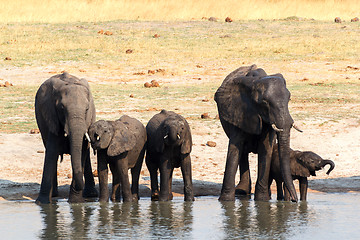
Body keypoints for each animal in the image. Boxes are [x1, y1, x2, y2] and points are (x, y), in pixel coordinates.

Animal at [34, 72, 97, 203]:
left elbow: (82, 151)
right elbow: (51, 152)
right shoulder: (52, 117)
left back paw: (91, 194)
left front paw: (75, 202)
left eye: (87, 109)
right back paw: (53, 195)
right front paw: (42, 203)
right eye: (62, 108)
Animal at [214, 64, 300, 202]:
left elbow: (266, 150)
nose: (294, 200)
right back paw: (241, 192)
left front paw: (262, 201)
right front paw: (226, 201)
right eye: (265, 103)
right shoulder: (239, 111)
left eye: (289, 98)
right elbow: (234, 149)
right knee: (243, 153)